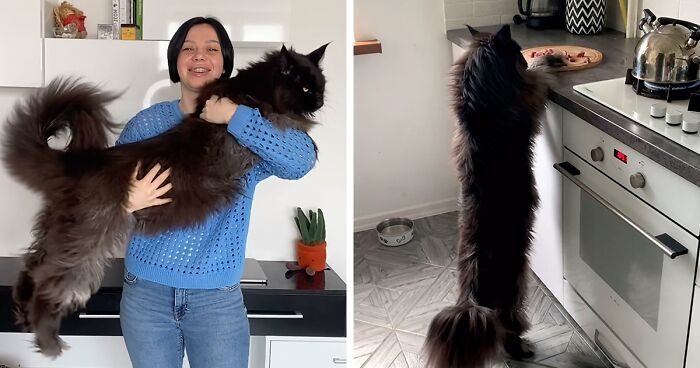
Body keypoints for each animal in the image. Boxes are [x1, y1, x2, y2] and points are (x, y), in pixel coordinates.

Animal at [1, 42, 330, 356]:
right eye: (304, 88)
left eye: (320, 86)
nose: (320, 101)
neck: (255, 86)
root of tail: (83, 161)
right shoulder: (269, 116)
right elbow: (296, 128)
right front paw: (314, 143)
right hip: (88, 239)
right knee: (48, 281)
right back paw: (47, 341)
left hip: (61, 230)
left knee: (32, 263)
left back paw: (22, 311)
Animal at [422, 24, 564, 366]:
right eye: (517, 51)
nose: (524, 58)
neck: (476, 105)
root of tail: (472, 296)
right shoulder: (528, 94)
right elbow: (539, 75)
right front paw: (551, 58)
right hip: (516, 285)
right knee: (508, 325)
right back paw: (522, 349)